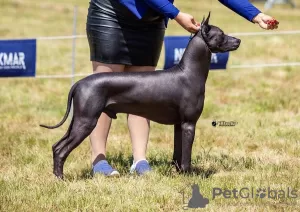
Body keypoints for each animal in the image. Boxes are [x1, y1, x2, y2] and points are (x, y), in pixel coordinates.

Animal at [40, 12, 241, 179]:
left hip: (78, 120)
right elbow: (186, 157)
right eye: (222, 34)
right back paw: (60, 178)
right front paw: (189, 176)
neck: (188, 72)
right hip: (86, 122)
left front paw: (178, 174)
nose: (238, 40)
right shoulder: (189, 124)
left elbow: (178, 154)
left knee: (56, 146)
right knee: (61, 150)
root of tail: (79, 83)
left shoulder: (179, 125)